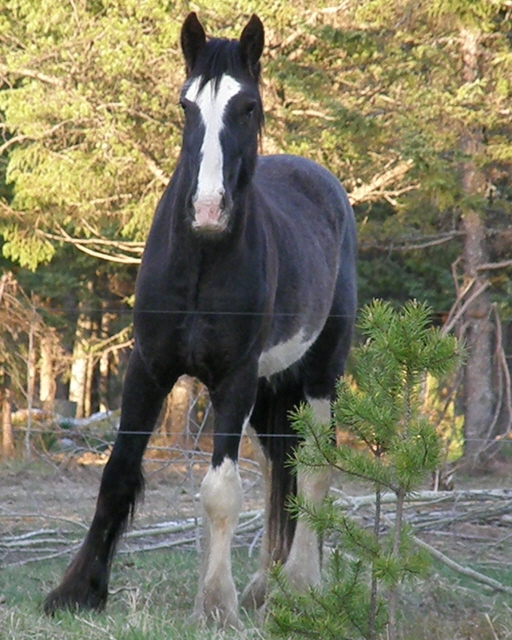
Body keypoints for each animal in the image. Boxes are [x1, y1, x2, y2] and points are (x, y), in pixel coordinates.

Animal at [44, 12, 356, 628]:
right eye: (185, 105)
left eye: (249, 106)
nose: (208, 210)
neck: (202, 261)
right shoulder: (148, 367)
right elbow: (118, 472)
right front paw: (77, 590)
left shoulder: (234, 377)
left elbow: (221, 490)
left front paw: (216, 604)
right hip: (271, 388)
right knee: (280, 467)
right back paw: (264, 586)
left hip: (317, 374)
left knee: (312, 469)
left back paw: (300, 587)